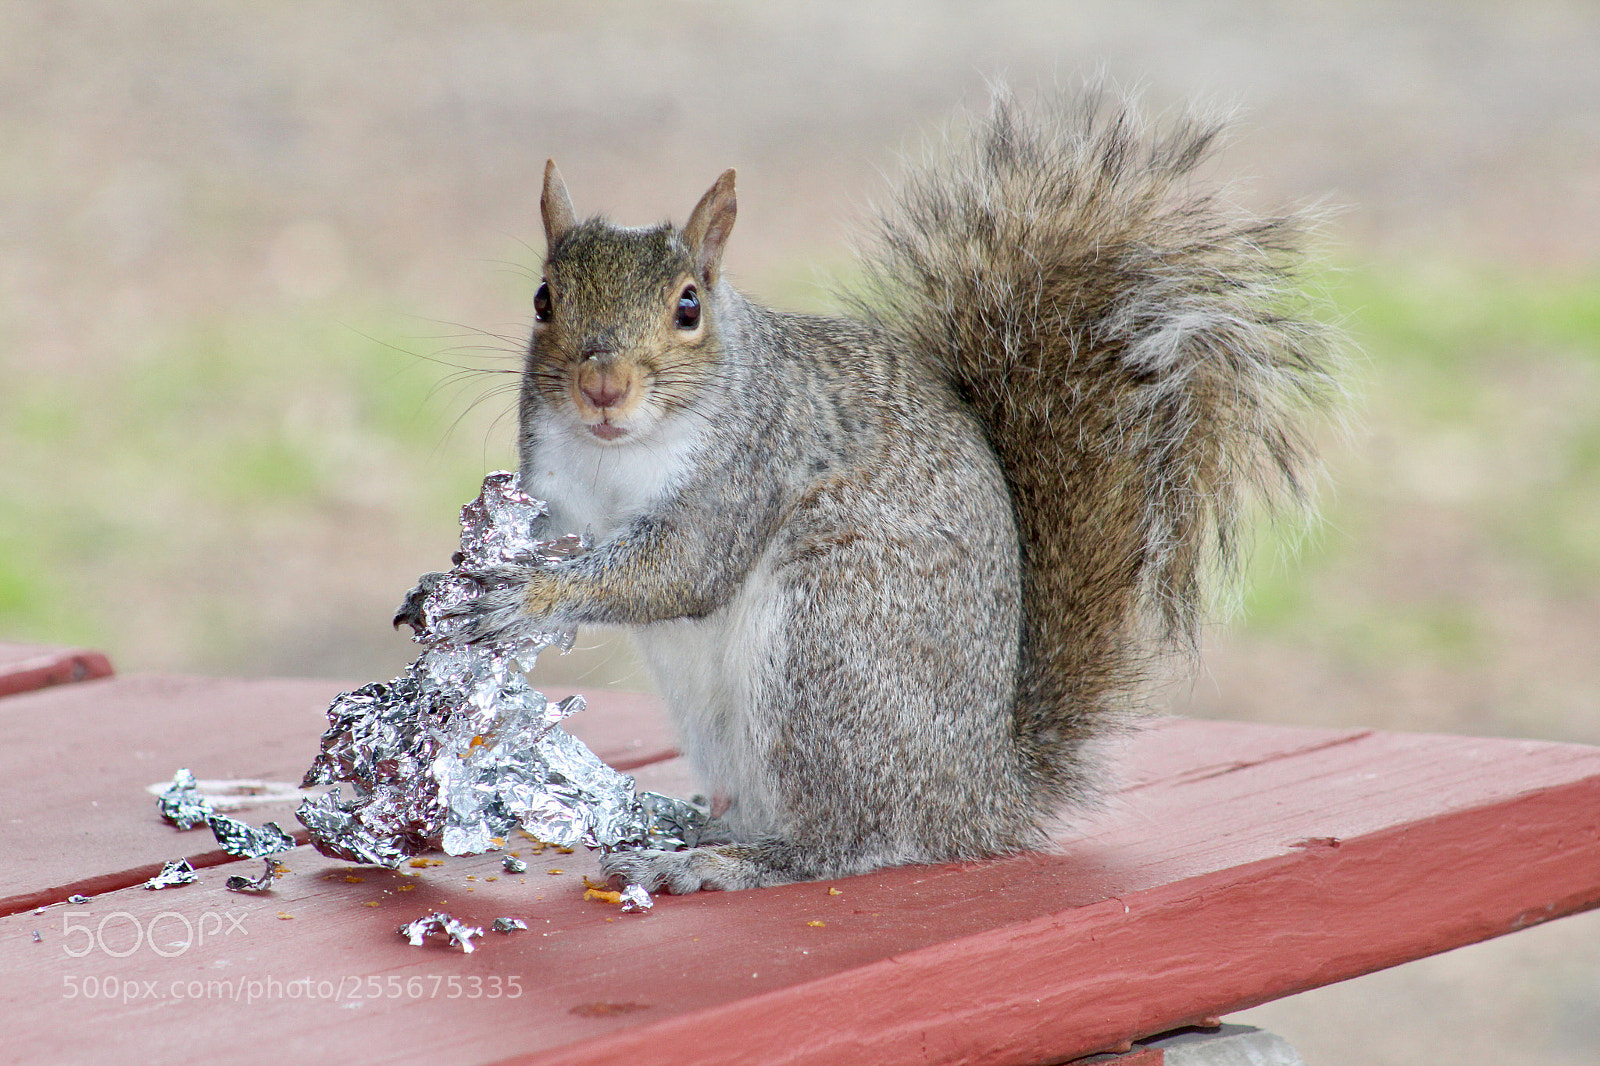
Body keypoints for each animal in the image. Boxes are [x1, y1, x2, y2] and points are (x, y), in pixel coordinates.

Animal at [399, 88, 1339, 893]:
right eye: (543, 299)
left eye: (689, 306)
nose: (602, 386)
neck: (614, 454)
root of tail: (979, 798)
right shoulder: (554, 491)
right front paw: (443, 583)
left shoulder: (746, 468)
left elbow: (683, 570)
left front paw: (526, 594)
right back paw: (706, 827)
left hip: (830, 646)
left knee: (847, 842)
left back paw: (728, 863)